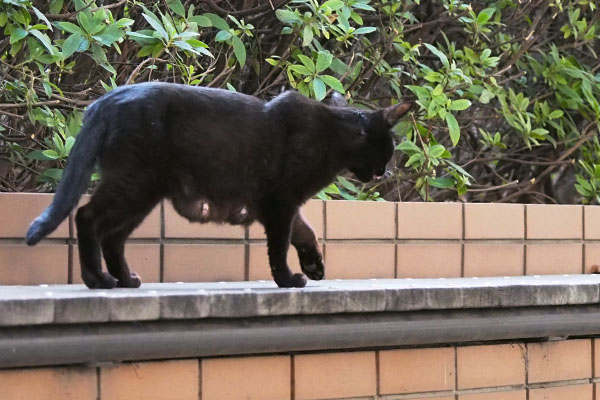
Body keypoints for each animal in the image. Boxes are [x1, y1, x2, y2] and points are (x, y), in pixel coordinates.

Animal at [25, 82, 410, 288]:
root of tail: (103, 101)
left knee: (113, 236)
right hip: (134, 182)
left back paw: (125, 280)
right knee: (87, 217)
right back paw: (97, 279)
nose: (385, 172)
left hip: (143, 192)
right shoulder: (279, 202)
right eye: (388, 149)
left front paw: (314, 264)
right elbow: (278, 246)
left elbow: (305, 229)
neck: (331, 136)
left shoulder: (281, 204)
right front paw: (287, 279)